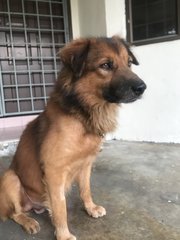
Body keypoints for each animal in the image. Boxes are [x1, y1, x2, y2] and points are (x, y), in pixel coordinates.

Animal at [0, 36, 146, 240]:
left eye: (129, 63)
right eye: (106, 65)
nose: (142, 88)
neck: (82, 115)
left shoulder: (86, 164)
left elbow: (86, 190)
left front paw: (91, 208)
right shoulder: (53, 170)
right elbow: (60, 207)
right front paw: (63, 234)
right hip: (10, 178)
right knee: (14, 213)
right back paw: (28, 222)